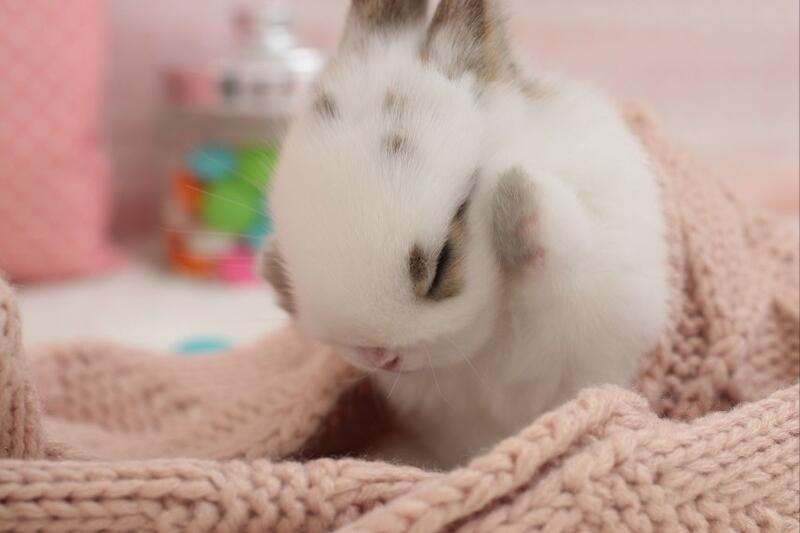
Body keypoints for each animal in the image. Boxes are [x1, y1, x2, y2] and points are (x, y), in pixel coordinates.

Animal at [262, 0, 668, 470]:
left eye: (441, 265)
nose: (379, 354)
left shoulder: (584, 324)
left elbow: (557, 253)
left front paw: (513, 190)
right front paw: (268, 267)